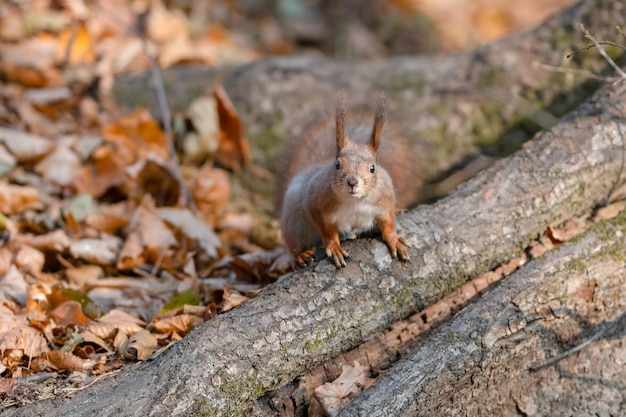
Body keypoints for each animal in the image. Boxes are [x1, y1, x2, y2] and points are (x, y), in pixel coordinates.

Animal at [274, 92, 414, 266]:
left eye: (373, 168)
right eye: (337, 164)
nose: (352, 182)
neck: (356, 201)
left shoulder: (384, 202)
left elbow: (388, 224)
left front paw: (394, 239)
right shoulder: (317, 204)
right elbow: (327, 231)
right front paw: (334, 247)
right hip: (295, 227)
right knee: (294, 246)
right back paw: (301, 255)